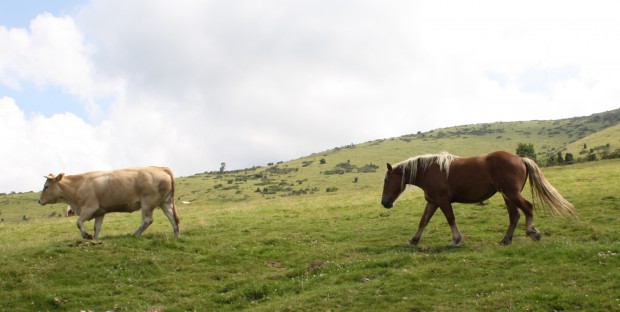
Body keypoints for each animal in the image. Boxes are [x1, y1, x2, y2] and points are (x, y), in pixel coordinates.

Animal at [38, 168, 179, 239]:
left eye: (46, 186)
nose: (39, 200)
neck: (79, 185)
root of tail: (160, 169)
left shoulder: (89, 207)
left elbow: (78, 222)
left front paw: (86, 235)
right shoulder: (100, 212)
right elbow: (97, 228)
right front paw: (94, 240)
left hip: (147, 203)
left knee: (147, 220)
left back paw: (135, 235)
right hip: (165, 202)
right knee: (173, 218)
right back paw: (177, 235)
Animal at [380, 151, 580, 246]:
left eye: (387, 180)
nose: (384, 202)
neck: (430, 170)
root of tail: (520, 158)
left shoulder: (443, 201)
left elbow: (451, 219)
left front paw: (456, 239)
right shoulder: (432, 202)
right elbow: (423, 221)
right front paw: (414, 240)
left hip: (511, 193)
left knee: (528, 208)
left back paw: (532, 232)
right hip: (507, 195)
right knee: (514, 216)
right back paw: (506, 240)